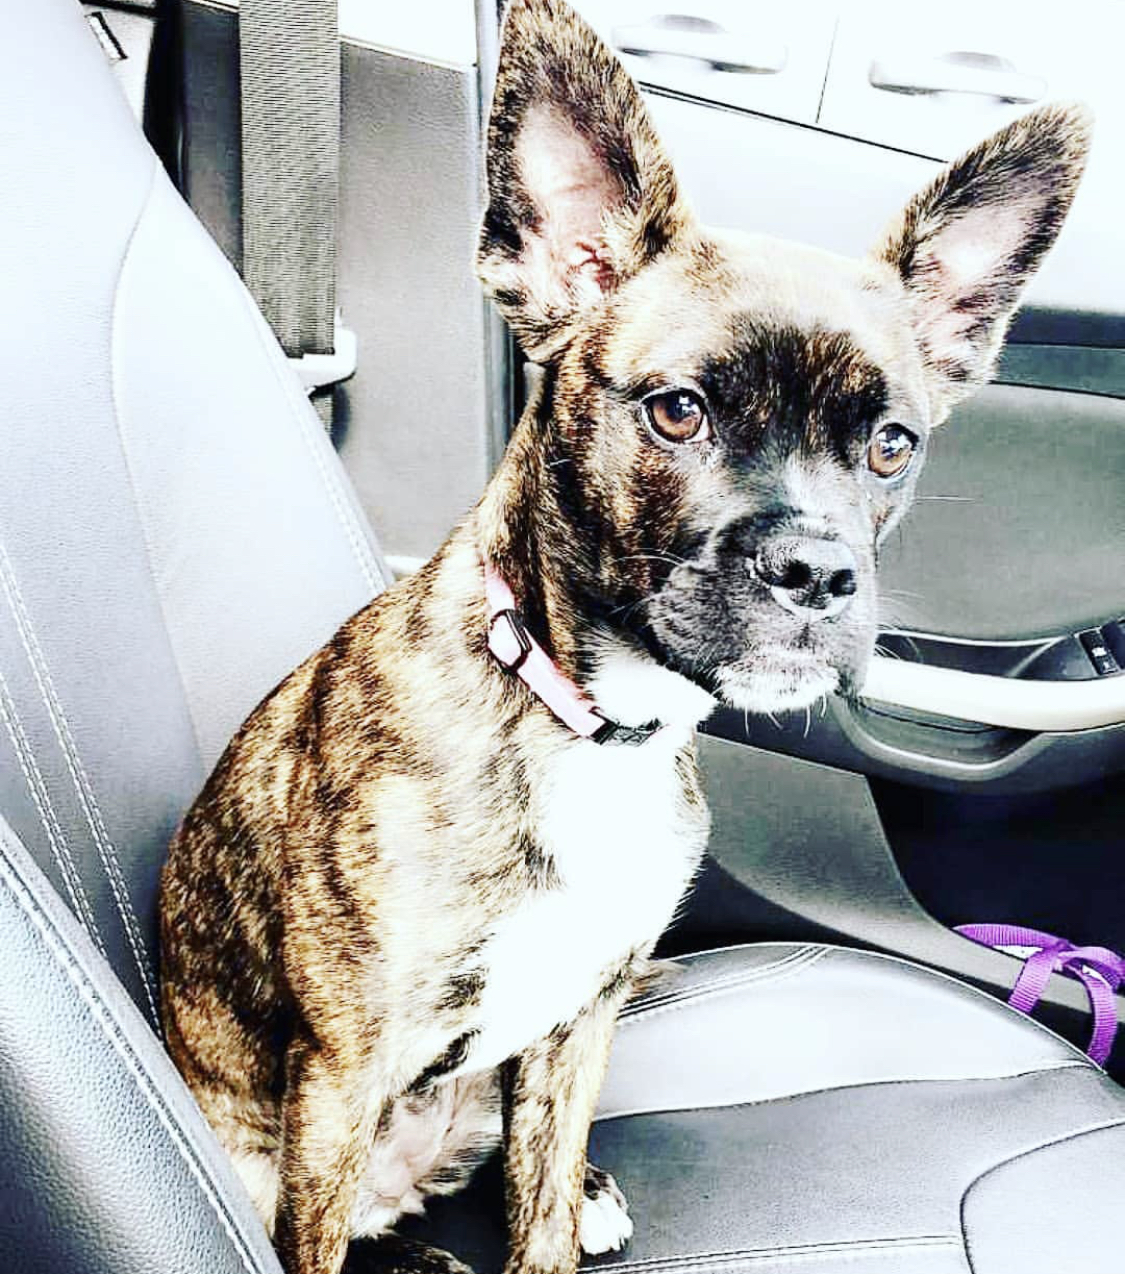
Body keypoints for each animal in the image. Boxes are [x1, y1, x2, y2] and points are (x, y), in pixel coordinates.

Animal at [158, 2, 1090, 1274]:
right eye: (677, 411)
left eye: (893, 444)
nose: (818, 569)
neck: (587, 723)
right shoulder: (344, 1073)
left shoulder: (576, 1017)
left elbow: (541, 1195)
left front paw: (567, 1196)